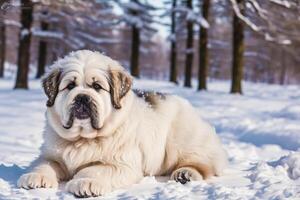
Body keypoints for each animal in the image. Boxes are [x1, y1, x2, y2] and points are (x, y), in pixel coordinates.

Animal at [17, 50, 227, 197]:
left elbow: (96, 169)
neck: (82, 139)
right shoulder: (50, 154)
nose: (82, 97)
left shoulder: (122, 165)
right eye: (70, 86)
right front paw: (35, 177)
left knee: (203, 164)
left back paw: (185, 173)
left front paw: (85, 182)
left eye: (97, 87)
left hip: (183, 140)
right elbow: (44, 163)